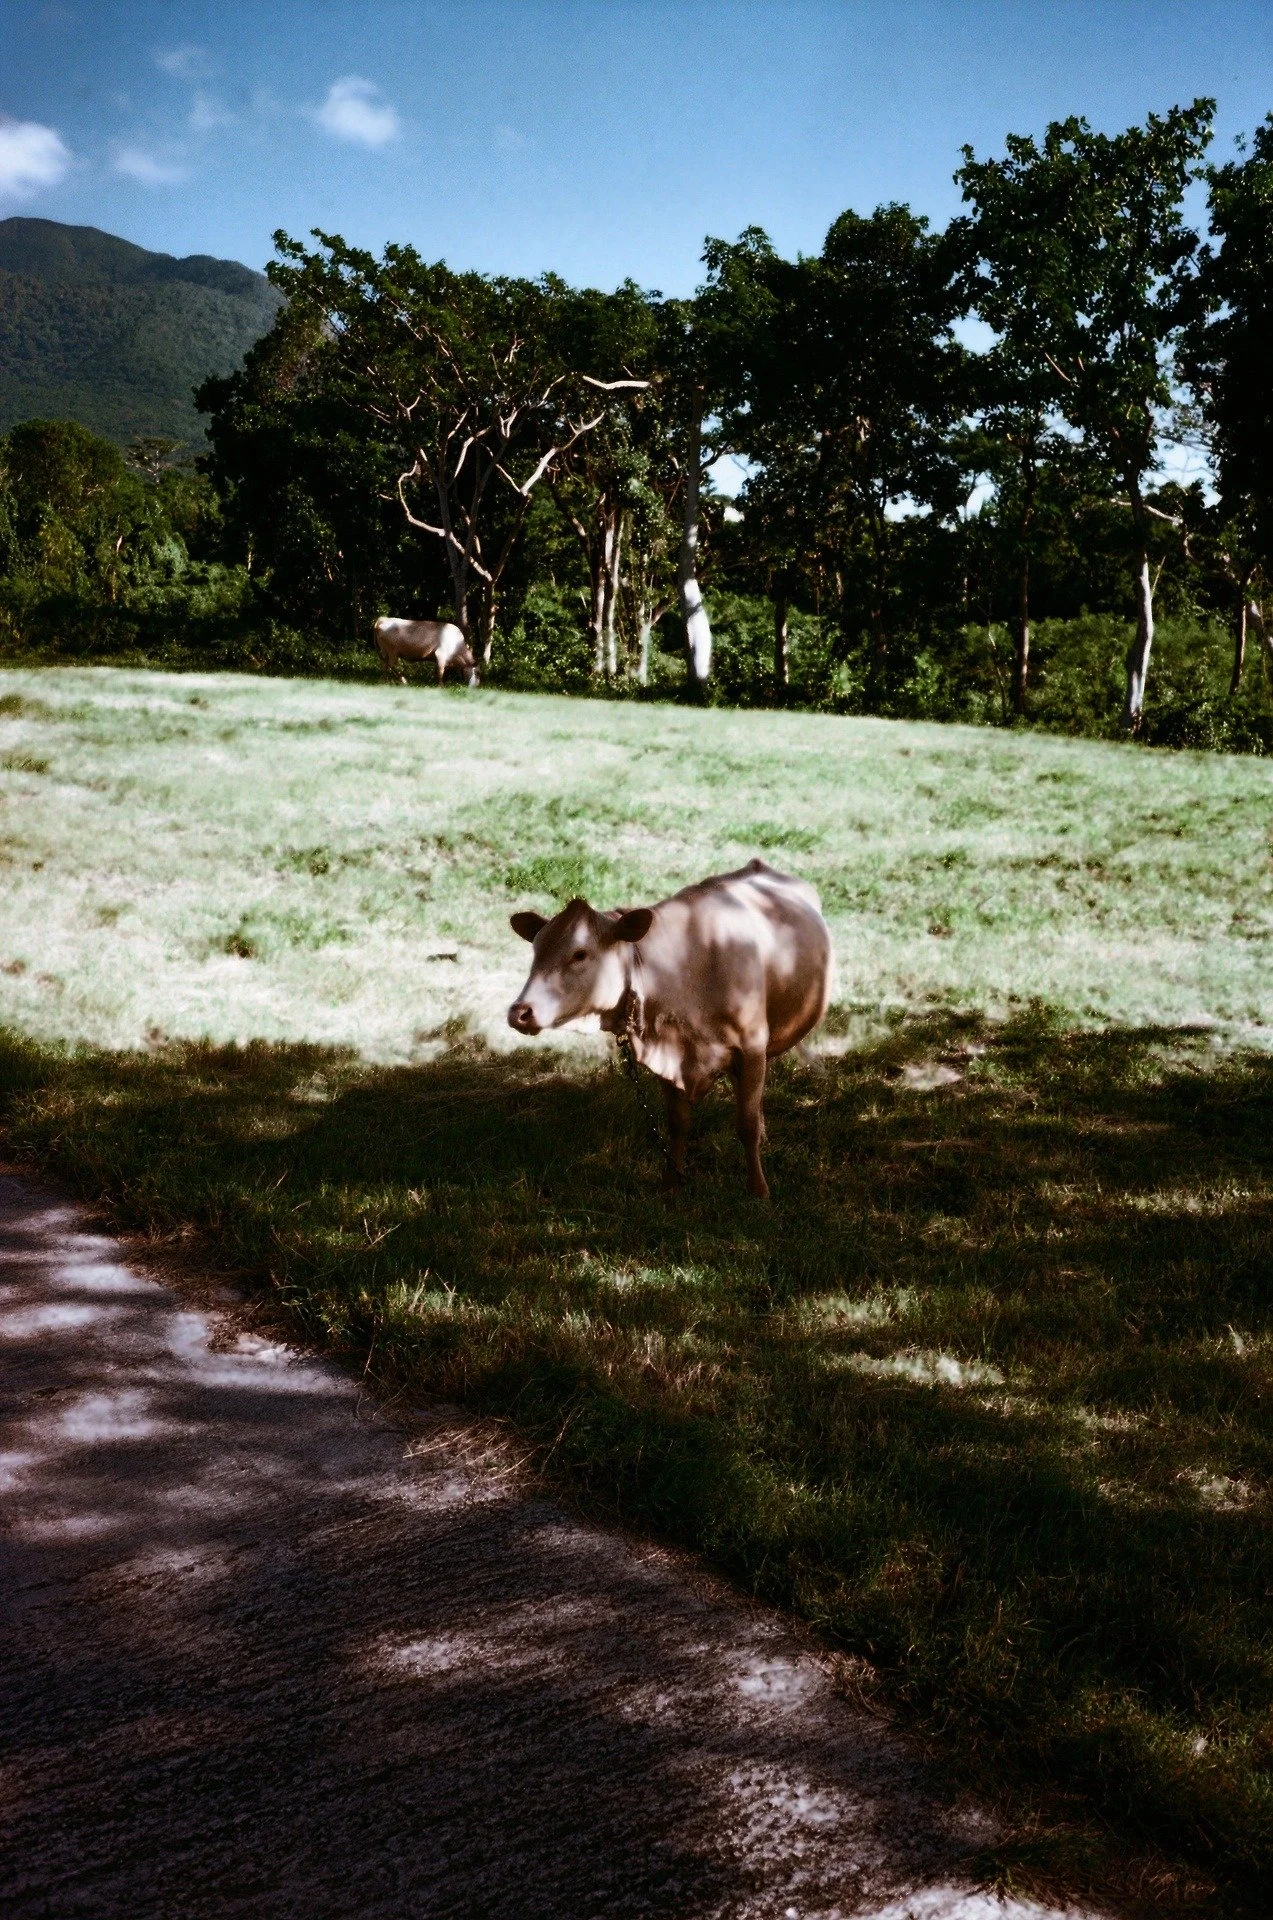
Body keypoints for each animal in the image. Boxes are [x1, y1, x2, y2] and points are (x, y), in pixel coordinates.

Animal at [508, 860, 832, 1198]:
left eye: (579, 953)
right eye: (536, 950)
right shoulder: (666, 1051)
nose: (520, 1012)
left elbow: (746, 1124)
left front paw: (758, 1190)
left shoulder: (752, 1046)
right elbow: (678, 1122)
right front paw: (671, 1183)